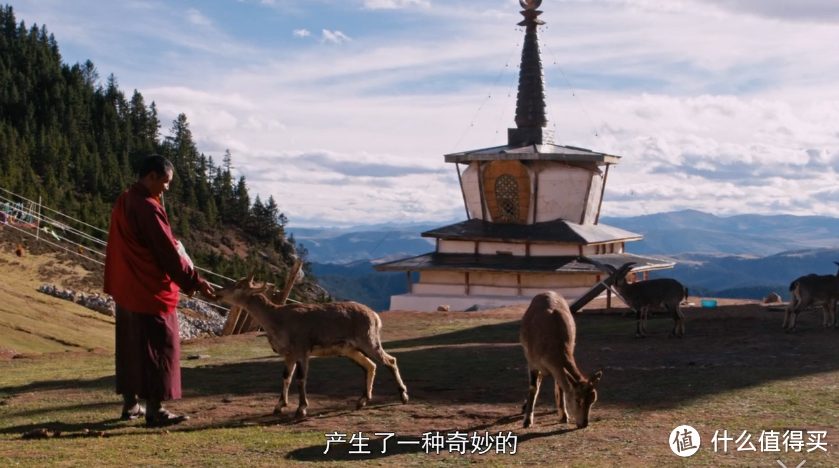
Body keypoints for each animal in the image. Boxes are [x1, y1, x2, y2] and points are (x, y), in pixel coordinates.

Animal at [213, 272, 410, 418]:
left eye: (239, 285)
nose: (218, 293)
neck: (278, 320)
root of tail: (376, 317)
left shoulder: (303, 348)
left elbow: (301, 378)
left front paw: (301, 409)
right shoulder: (289, 353)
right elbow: (286, 376)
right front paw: (279, 406)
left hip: (369, 340)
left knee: (390, 361)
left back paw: (403, 396)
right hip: (351, 349)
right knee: (370, 365)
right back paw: (362, 400)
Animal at [520, 290, 604, 430]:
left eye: (593, 400)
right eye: (577, 399)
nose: (583, 424)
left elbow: (559, 385)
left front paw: (564, 416)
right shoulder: (532, 362)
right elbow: (533, 387)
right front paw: (527, 421)